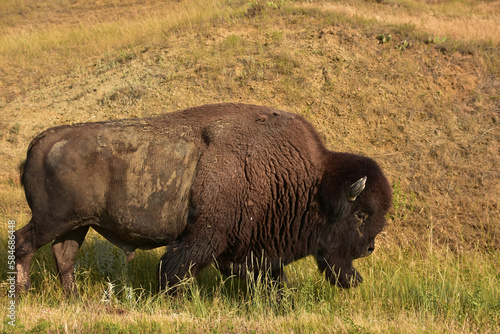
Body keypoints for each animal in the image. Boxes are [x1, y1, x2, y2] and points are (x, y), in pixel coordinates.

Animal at [14, 103, 390, 296]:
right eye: (360, 214)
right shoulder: (203, 236)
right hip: (51, 221)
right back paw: (24, 291)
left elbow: (271, 277)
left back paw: (73, 297)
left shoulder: (253, 250)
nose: (369, 248)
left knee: (64, 257)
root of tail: (42, 140)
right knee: (24, 243)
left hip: (76, 225)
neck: (309, 182)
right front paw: (174, 300)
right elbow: (176, 270)